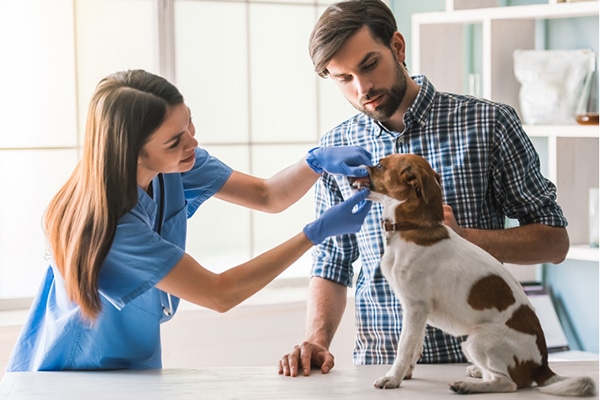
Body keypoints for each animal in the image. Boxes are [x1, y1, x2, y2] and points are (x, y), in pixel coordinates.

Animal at [352, 153, 596, 396]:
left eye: (380, 165)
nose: (357, 168)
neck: (410, 227)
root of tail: (542, 365)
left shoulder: (415, 307)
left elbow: (404, 347)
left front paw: (393, 377)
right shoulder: (419, 313)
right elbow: (415, 346)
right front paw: (406, 373)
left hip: (477, 339)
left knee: (507, 383)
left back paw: (467, 386)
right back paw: (477, 372)